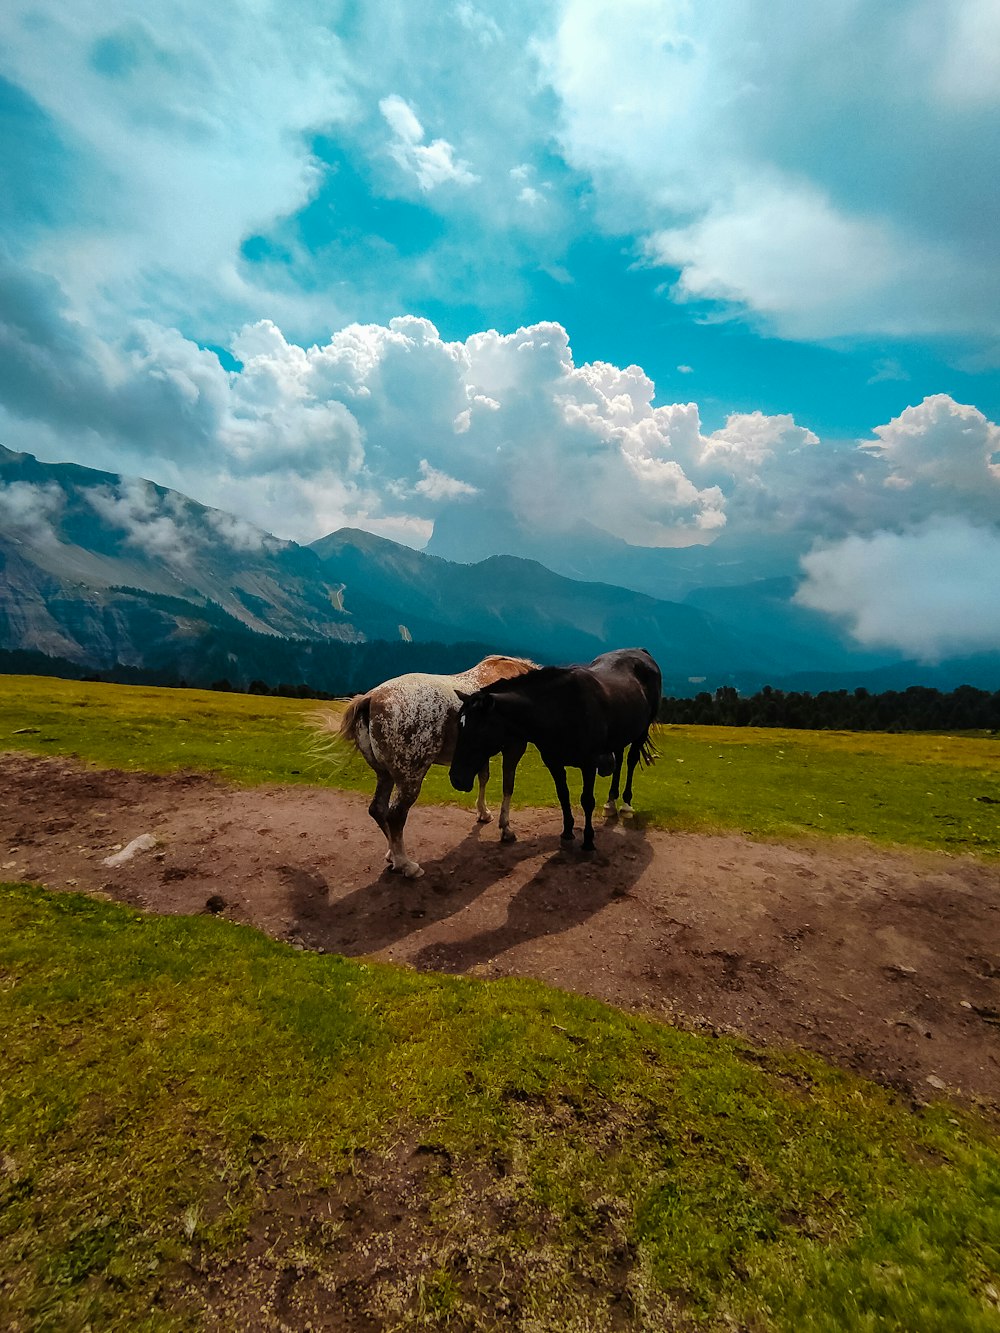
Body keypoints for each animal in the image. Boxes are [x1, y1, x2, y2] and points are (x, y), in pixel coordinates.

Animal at [450, 647, 661, 853]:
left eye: (480, 729)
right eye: (459, 725)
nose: (456, 778)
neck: (561, 709)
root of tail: (641, 651)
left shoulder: (589, 764)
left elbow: (587, 800)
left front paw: (588, 840)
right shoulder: (554, 762)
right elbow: (563, 795)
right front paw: (567, 833)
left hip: (641, 732)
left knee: (631, 761)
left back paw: (626, 805)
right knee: (618, 760)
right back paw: (610, 803)